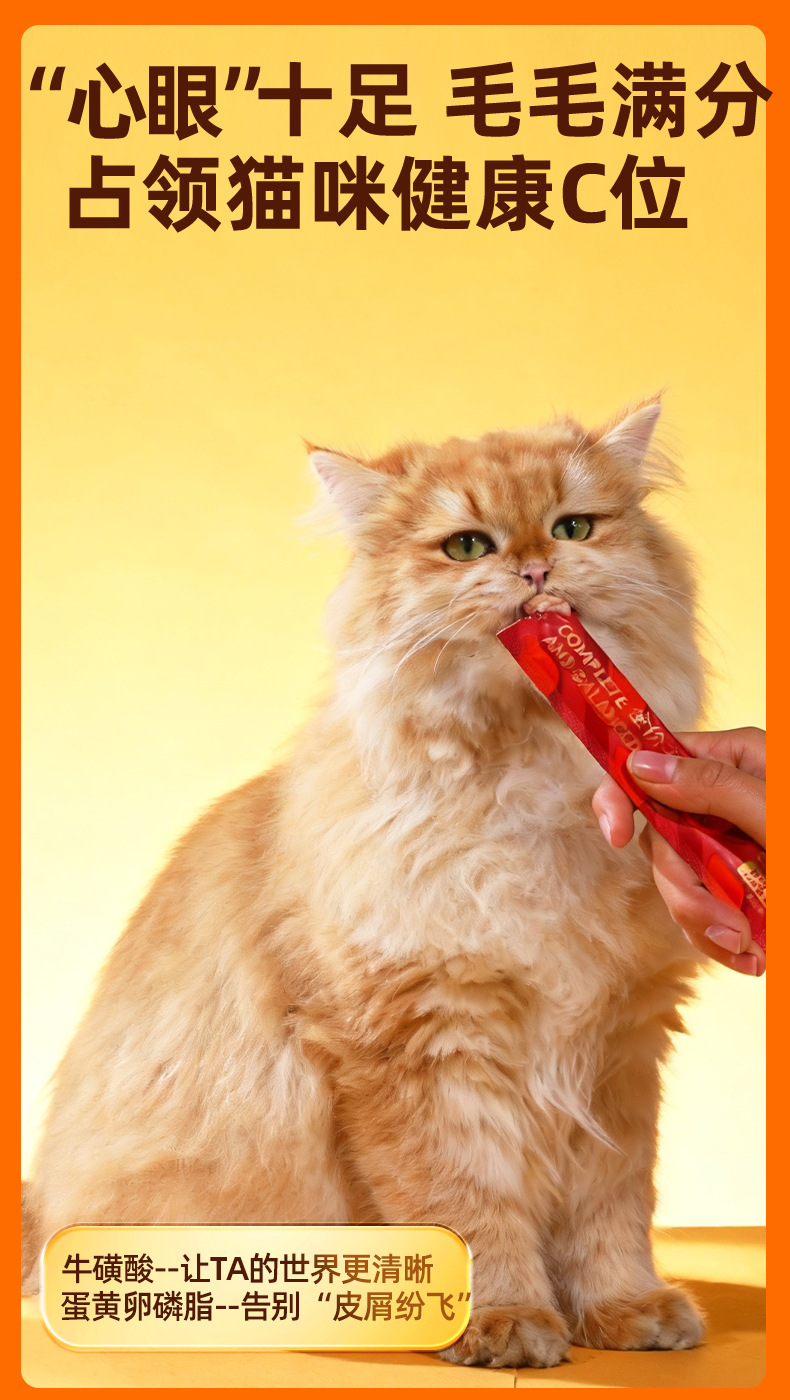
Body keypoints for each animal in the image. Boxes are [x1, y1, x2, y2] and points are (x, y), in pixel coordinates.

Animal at [23, 399, 707, 1368]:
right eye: (467, 546)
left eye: (575, 527)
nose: (537, 566)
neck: (528, 782)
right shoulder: (420, 1047)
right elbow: (469, 1212)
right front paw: (503, 1322)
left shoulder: (614, 1052)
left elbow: (610, 1217)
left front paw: (625, 1311)